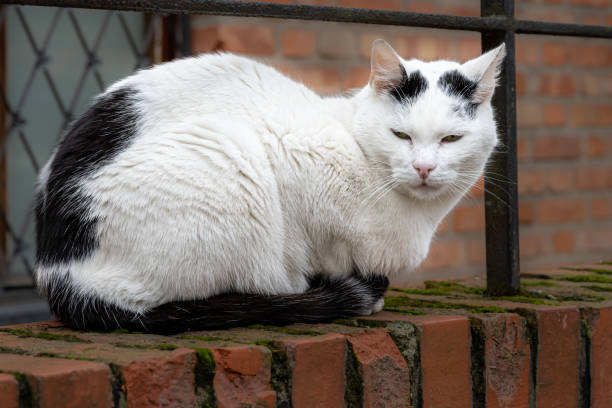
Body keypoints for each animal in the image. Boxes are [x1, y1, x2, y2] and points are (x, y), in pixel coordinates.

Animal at [33, 39, 504, 334]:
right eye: (401, 135)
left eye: (451, 139)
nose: (424, 168)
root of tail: (59, 272)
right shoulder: (292, 149)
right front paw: (351, 288)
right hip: (228, 155)